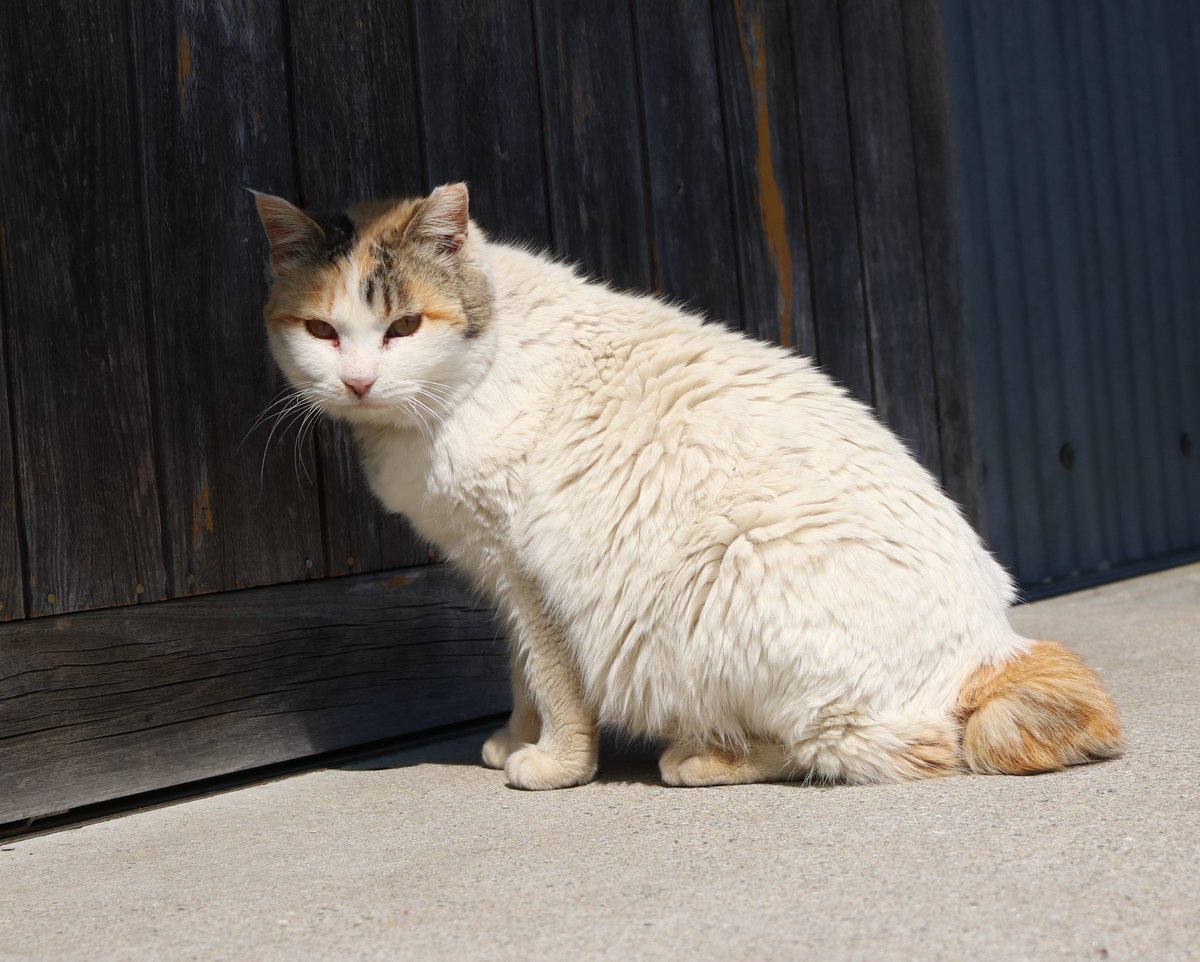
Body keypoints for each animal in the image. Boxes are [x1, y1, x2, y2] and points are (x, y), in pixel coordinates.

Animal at [253, 182, 1123, 786]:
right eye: (322, 331)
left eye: (404, 327)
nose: (360, 382)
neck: (475, 363)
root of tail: (991, 648)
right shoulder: (495, 573)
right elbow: (519, 673)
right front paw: (514, 737)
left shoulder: (529, 573)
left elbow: (554, 680)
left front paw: (553, 762)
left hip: (734, 575)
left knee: (882, 747)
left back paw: (703, 756)